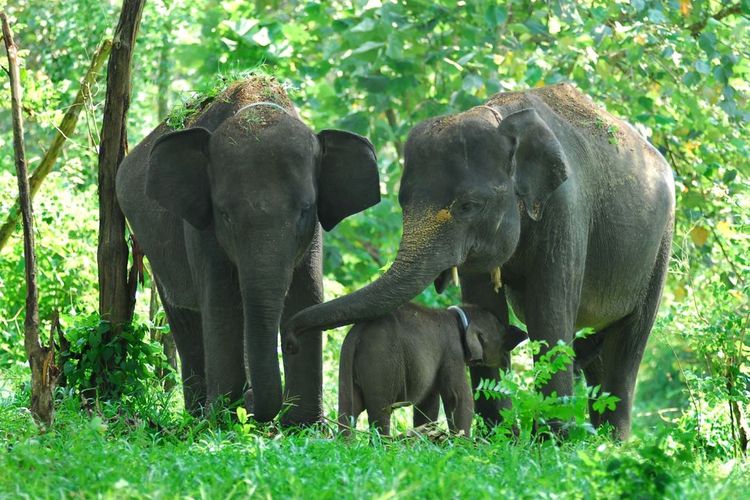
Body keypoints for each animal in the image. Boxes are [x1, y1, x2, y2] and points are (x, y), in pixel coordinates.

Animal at [116, 76, 382, 424]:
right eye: (225, 214)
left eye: (305, 210)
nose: (252, 402)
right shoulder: (201, 228)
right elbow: (221, 301)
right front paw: (222, 419)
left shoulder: (312, 234)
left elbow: (306, 294)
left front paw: (303, 425)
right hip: (152, 248)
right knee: (185, 319)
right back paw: (198, 415)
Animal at [334, 300, 528, 438]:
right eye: (501, 335)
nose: (522, 333)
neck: (458, 314)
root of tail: (357, 334)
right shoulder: (452, 352)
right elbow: (458, 397)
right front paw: (462, 444)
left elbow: (428, 403)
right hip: (380, 364)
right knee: (380, 412)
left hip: (348, 366)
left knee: (349, 409)